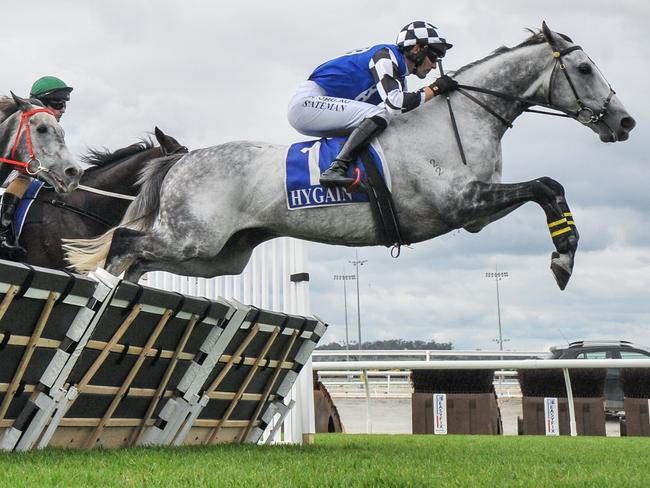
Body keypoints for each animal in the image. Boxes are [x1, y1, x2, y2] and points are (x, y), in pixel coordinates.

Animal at [64, 22, 632, 290]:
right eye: (584, 68)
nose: (624, 122)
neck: (462, 118)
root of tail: (182, 160)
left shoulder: (474, 214)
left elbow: (548, 187)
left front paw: (564, 254)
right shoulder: (461, 204)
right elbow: (545, 185)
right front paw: (563, 259)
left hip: (216, 256)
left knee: (139, 259)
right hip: (191, 238)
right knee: (124, 243)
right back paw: (100, 288)